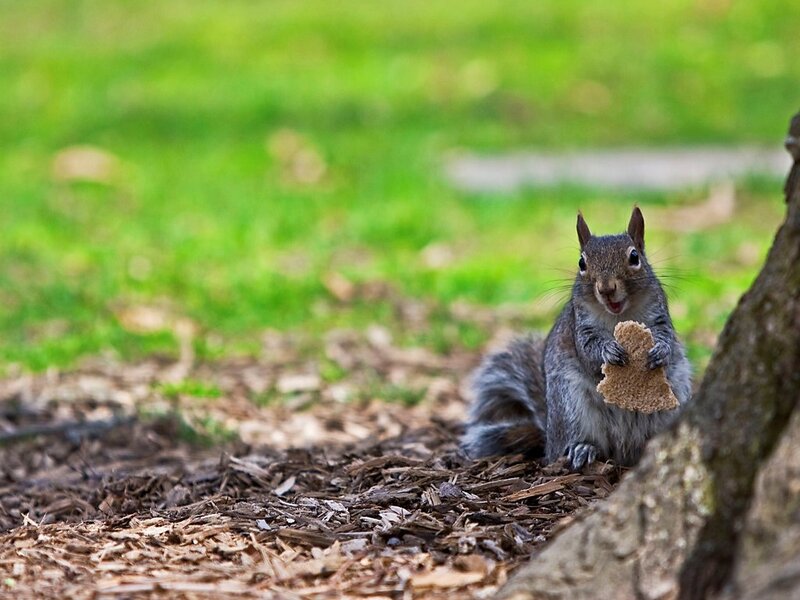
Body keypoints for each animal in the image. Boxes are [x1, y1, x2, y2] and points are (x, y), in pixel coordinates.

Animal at [462, 207, 692, 470]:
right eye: (582, 263)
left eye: (634, 257)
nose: (606, 288)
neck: (619, 315)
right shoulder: (580, 324)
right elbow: (587, 350)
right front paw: (609, 351)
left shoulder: (659, 313)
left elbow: (667, 337)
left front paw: (660, 351)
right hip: (569, 405)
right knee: (569, 446)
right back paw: (582, 448)